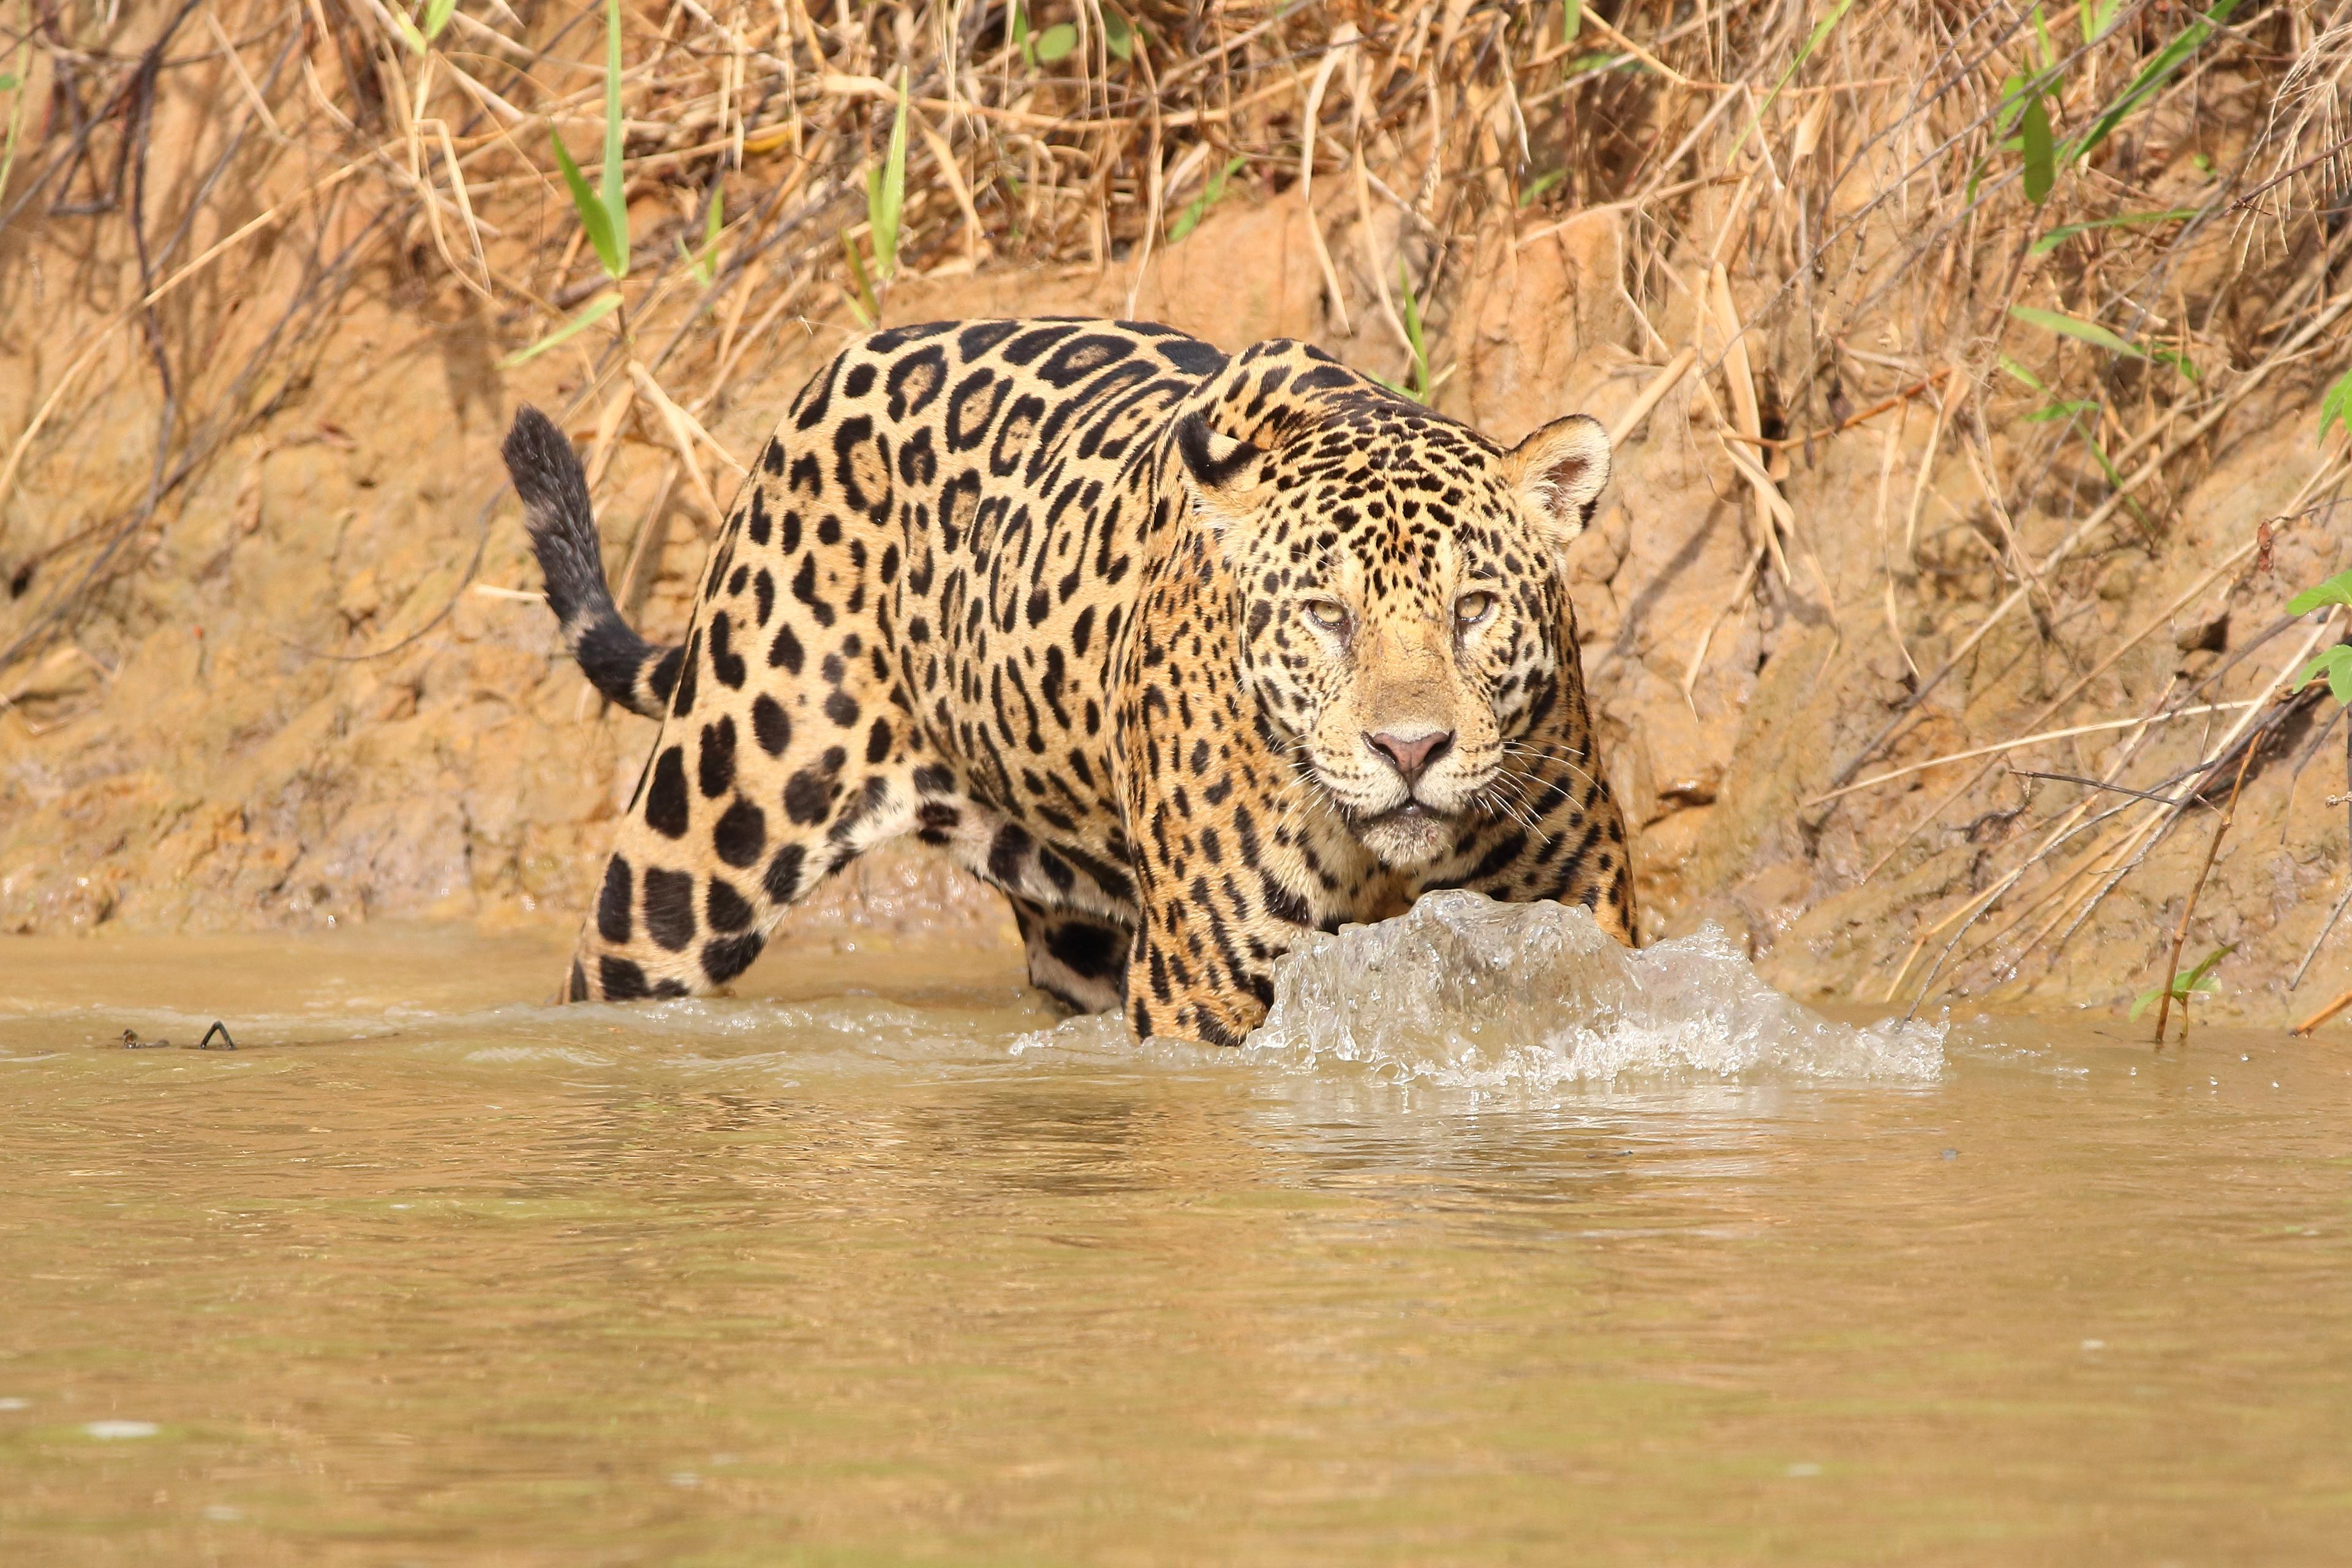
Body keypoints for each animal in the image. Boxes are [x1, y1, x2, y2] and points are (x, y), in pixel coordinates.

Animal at [501, 318, 1635, 1046]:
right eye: (1327, 615)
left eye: (1474, 608)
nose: (1410, 750)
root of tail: (823, 382)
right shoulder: (1203, 1001)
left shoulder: (1586, 936)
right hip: (694, 859)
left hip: (1075, 923)